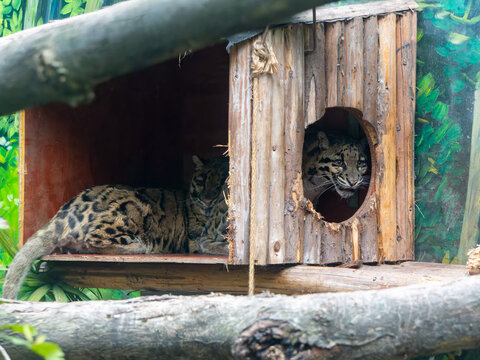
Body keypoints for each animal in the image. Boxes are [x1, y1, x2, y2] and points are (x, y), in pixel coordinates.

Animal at [2, 155, 229, 298]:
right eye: (201, 181)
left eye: (220, 185)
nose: (208, 200)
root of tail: (62, 213)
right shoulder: (199, 240)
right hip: (133, 208)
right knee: (91, 241)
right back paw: (141, 247)